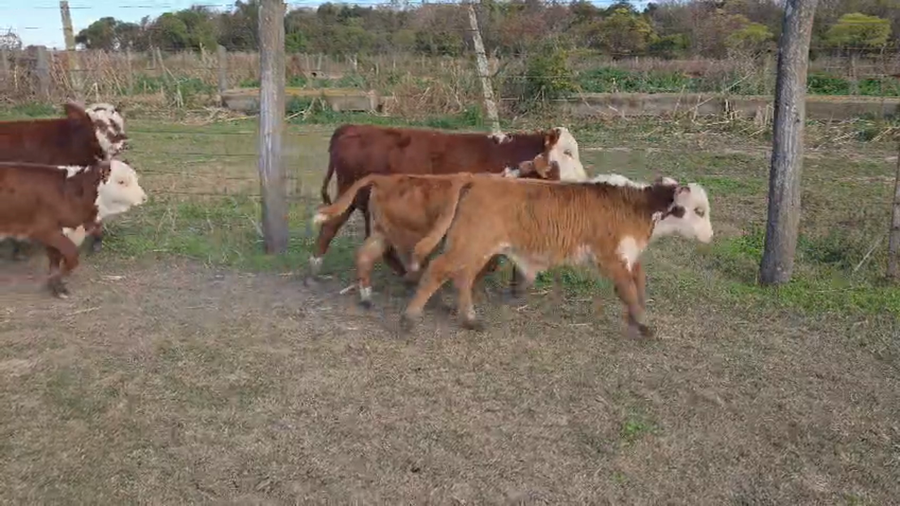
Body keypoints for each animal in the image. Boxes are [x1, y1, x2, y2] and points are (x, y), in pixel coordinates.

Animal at [308, 123, 585, 283]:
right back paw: (314, 268)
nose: (584, 181)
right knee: (331, 225)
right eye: (567, 153)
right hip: (350, 193)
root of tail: (354, 127)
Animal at [399, 176, 713, 337]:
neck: (635, 205)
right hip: (468, 244)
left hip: (478, 247)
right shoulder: (611, 258)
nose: (710, 236)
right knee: (438, 269)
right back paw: (410, 318)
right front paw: (642, 324)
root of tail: (476, 180)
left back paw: (469, 319)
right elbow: (628, 290)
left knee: (462, 277)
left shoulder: (629, 256)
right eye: (698, 210)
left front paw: (638, 318)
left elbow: (639, 284)